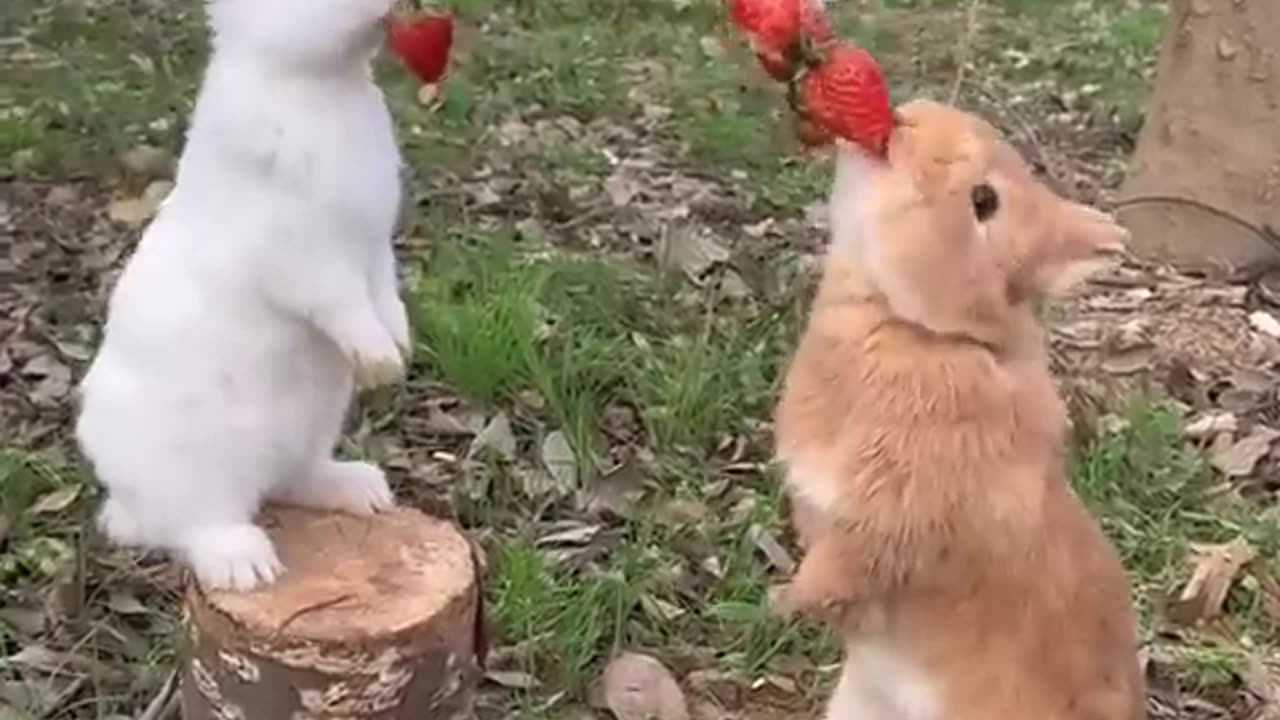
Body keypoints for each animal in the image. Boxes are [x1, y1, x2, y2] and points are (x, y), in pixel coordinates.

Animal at [72, 0, 409, 589]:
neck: (322, 85)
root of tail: (125, 502)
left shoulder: (373, 250)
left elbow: (385, 295)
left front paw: (402, 343)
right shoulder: (306, 259)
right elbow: (343, 304)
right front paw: (380, 359)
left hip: (311, 426)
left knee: (293, 481)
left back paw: (361, 489)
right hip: (201, 461)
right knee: (197, 524)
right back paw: (246, 566)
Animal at [773, 96, 1146, 717]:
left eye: (984, 201)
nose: (907, 119)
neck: (933, 332)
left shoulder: (898, 516)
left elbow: (855, 562)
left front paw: (785, 601)